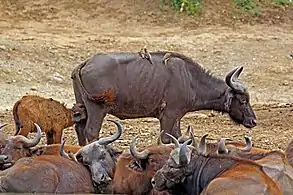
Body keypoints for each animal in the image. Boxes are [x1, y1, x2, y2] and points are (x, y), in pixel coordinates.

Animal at [70, 50, 256, 145]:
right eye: (243, 100)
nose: (253, 121)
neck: (190, 79)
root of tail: (84, 63)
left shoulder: (177, 117)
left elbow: (179, 138)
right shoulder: (168, 116)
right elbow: (166, 139)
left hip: (82, 106)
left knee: (80, 128)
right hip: (97, 109)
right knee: (91, 131)